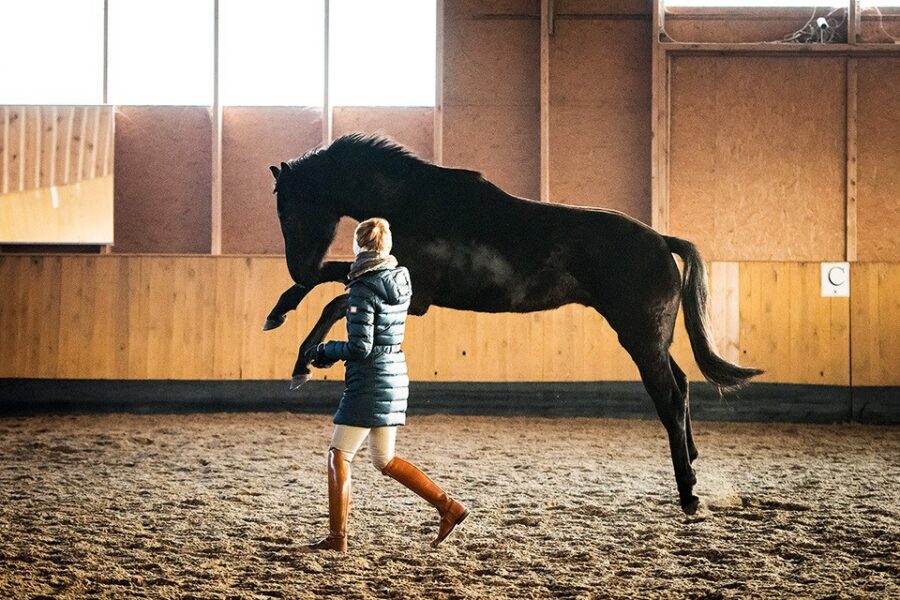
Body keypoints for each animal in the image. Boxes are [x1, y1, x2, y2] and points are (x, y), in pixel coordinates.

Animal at [265, 134, 762, 514]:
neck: (413, 202)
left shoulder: (414, 296)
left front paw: (305, 360)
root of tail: (662, 239)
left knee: (671, 398)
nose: (297, 266)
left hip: (640, 337)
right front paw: (282, 315)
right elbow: (331, 283)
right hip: (653, 340)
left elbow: (335, 300)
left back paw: (689, 494)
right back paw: (692, 464)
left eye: (288, 208)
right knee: (682, 385)